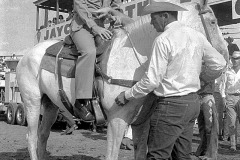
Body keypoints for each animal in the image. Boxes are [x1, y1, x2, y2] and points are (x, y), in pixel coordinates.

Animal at [16, 0, 229, 159]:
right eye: (212, 22)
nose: (225, 55)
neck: (131, 60)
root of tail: (25, 56)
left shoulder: (142, 122)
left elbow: (141, 153)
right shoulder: (117, 119)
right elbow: (112, 154)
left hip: (51, 104)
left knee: (43, 136)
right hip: (32, 101)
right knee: (31, 138)